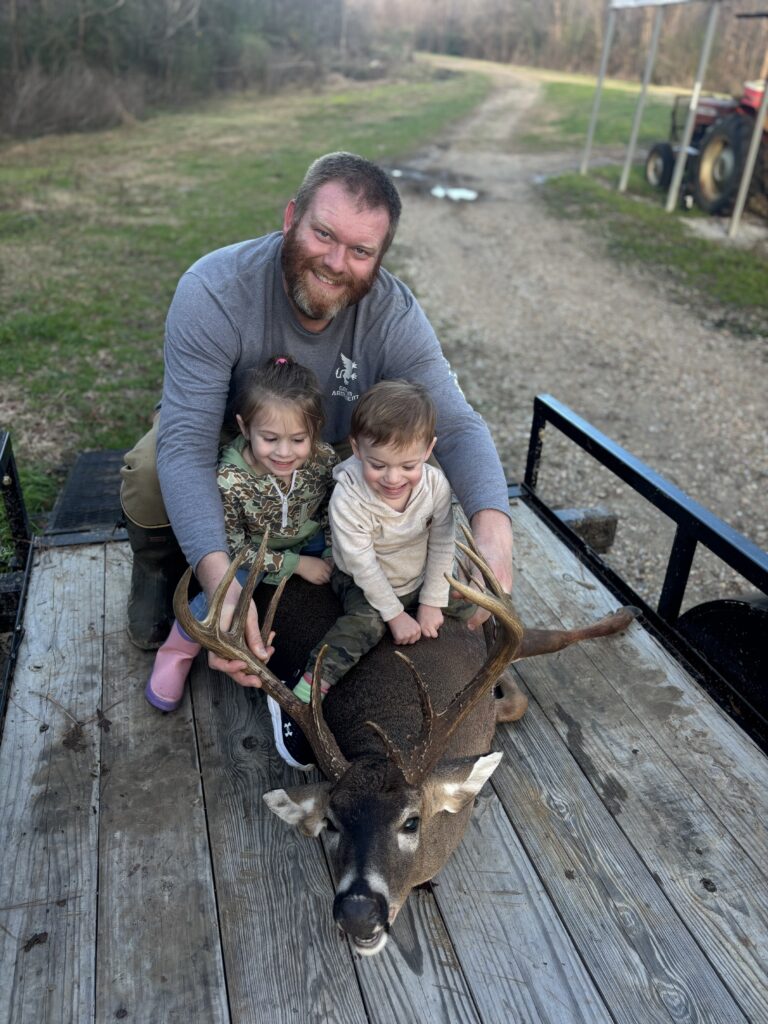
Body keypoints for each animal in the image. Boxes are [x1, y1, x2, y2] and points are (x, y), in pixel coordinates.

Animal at [176, 532, 638, 954]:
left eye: (411, 821)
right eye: (331, 822)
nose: (358, 914)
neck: (390, 727)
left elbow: (546, 652)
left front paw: (622, 614)